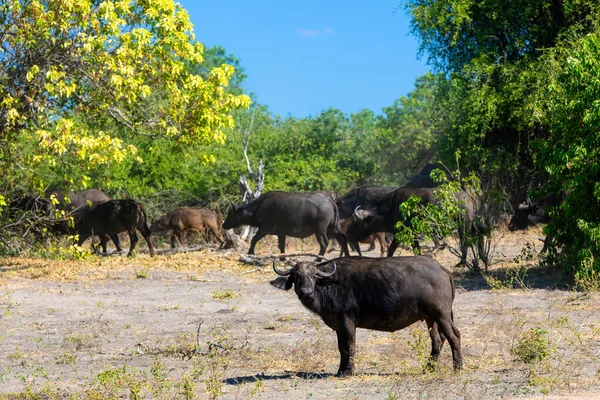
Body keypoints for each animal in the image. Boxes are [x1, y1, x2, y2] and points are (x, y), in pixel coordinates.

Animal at [270, 255, 462, 376]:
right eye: (296, 276)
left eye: (313, 276)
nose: (306, 292)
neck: (330, 286)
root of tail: (442, 269)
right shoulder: (339, 327)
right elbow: (341, 348)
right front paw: (341, 370)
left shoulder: (348, 322)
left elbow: (350, 346)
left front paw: (349, 371)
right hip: (430, 318)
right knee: (437, 340)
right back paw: (428, 368)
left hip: (442, 314)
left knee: (454, 336)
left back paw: (458, 367)